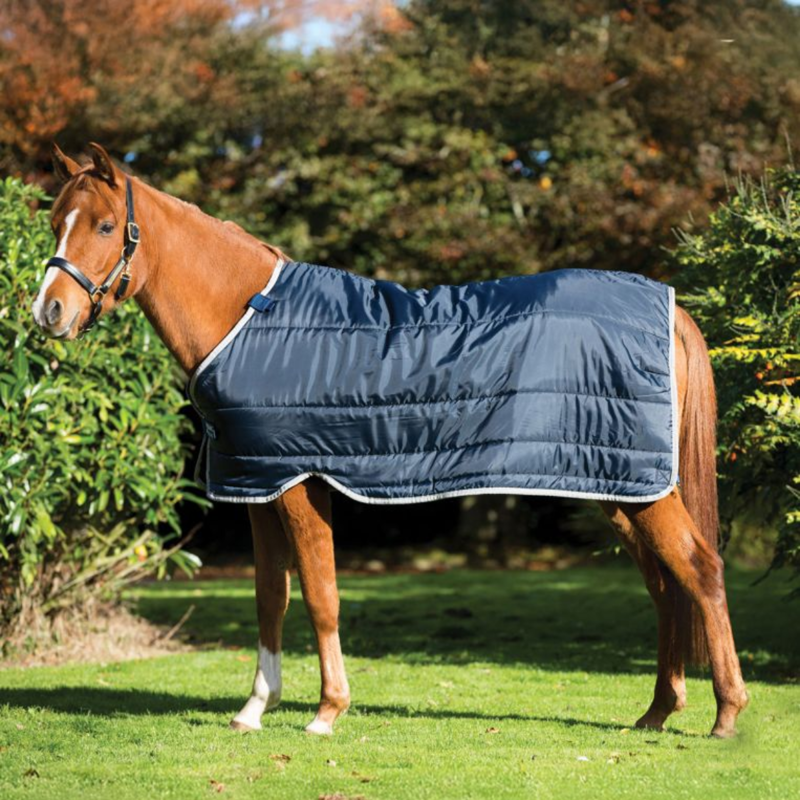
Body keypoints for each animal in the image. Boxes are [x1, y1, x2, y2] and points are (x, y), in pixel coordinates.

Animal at [31, 142, 749, 738]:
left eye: (103, 226)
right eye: (54, 222)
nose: (48, 312)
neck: (248, 317)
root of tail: (668, 309)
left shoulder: (299, 483)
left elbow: (320, 595)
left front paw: (327, 712)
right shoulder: (258, 484)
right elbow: (270, 598)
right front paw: (254, 709)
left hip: (640, 489)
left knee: (702, 571)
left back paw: (725, 715)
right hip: (616, 485)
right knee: (666, 584)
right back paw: (657, 712)